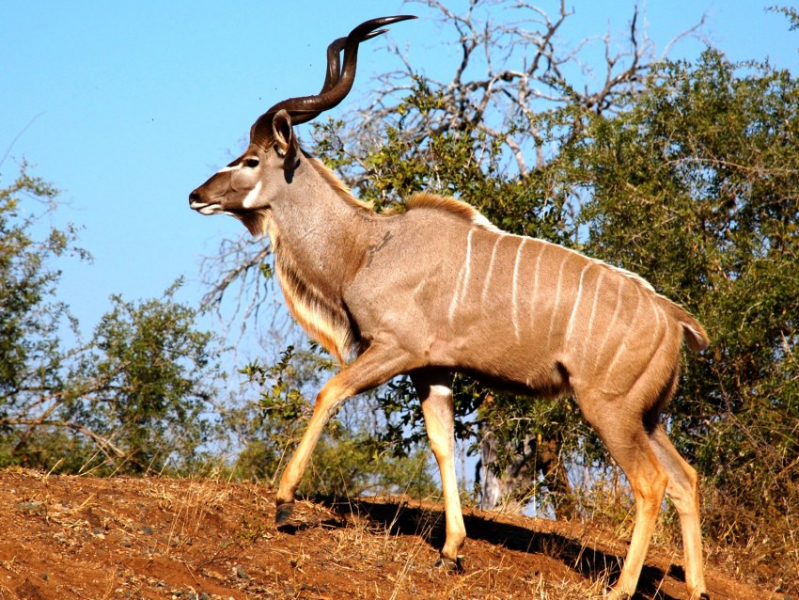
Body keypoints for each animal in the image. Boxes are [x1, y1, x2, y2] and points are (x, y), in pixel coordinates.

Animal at [191, 15, 708, 600]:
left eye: (251, 160)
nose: (196, 195)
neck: (366, 246)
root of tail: (673, 319)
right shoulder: (432, 369)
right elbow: (441, 442)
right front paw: (451, 549)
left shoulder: (395, 349)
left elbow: (330, 391)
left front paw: (283, 502)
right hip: (648, 416)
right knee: (686, 479)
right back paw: (697, 587)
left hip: (610, 409)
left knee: (652, 483)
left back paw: (620, 588)